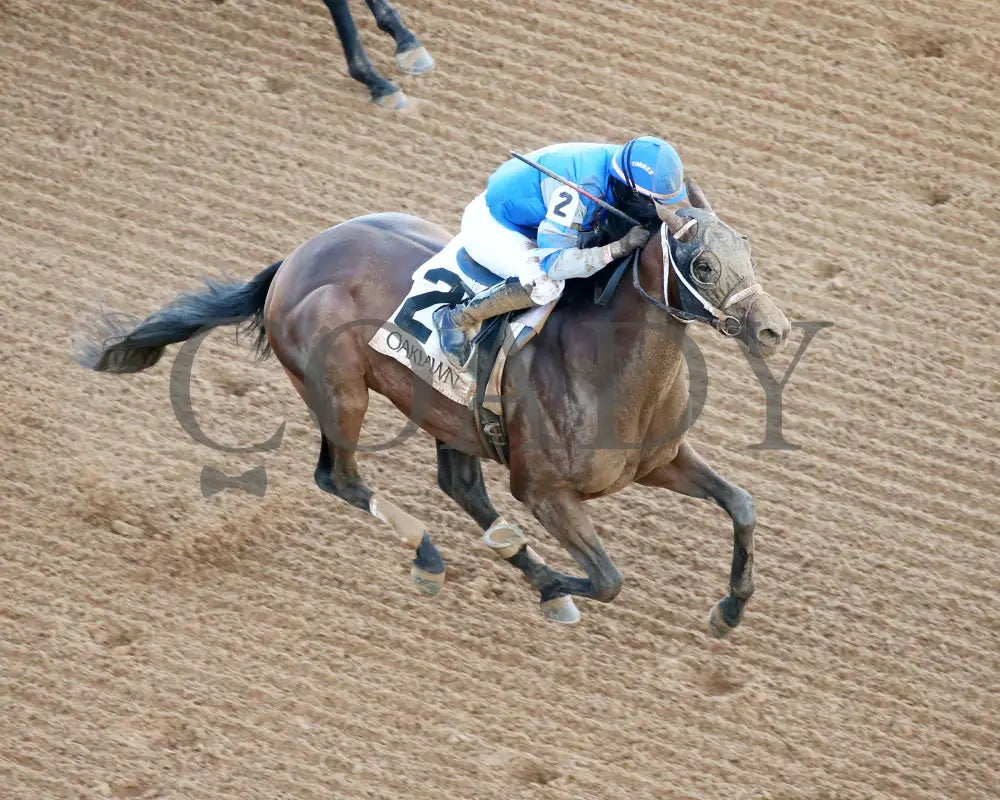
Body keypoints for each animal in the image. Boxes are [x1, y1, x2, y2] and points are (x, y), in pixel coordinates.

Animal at [76, 184, 788, 636]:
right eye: (701, 262)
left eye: (749, 250)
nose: (775, 330)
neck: (604, 367)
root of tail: (294, 261)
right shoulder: (543, 490)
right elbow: (609, 578)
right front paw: (555, 587)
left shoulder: (659, 459)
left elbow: (744, 504)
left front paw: (729, 610)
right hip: (339, 390)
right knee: (339, 477)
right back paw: (430, 556)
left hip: (450, 414)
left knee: (459, 484)